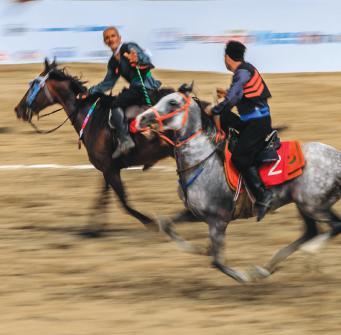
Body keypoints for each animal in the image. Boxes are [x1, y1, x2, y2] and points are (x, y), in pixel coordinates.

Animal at [14, 59, 174, 235]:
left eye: (33, 84)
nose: (18, 109)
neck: (92, 117)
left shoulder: (109, 169)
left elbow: (123, 202)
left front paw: (153, 223)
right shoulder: (108, 169)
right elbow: (102, 198)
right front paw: (93, 228)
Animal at [135, 89, 340, 284]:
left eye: (172, 102)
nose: (141, 118)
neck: (203, 162)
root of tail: (336, 158)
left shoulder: (218, 220)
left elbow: (217, 262)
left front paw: (242, 277)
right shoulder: (196, 214)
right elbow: (167, 224)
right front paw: (200, 249)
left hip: (312, 205)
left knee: (334, 226)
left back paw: (309, 251)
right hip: (305, 204)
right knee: (310, 232)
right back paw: (264, 269)